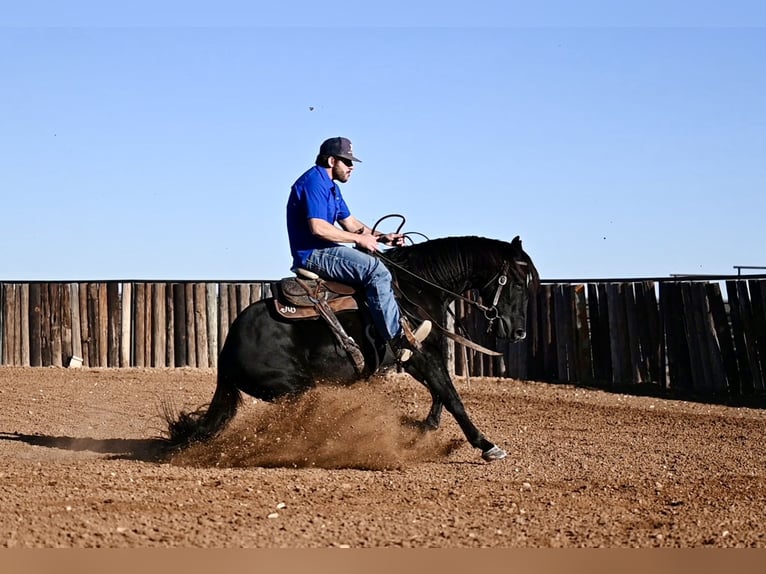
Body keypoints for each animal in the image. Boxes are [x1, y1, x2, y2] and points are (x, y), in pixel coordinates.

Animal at [168, 234, 540, 464]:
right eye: (516, 282)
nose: (520, 332)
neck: (417, 288)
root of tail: (227, 350)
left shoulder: (415, 357)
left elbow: (440, 392)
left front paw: (424, 428)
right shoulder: (419, 353)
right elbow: (452, 397)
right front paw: (486, 445)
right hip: (295, 387)